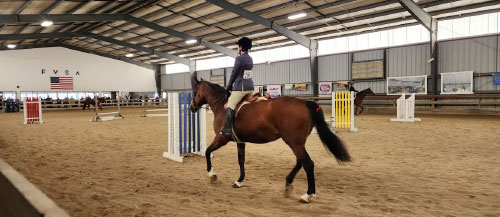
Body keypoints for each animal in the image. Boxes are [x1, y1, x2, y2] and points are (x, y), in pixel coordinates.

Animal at [189, 79, 350, 203]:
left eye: (195, 92)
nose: (191, 107)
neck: (222, 105)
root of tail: (306, 103)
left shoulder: (222, 138)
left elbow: (208, 152)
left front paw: (212, 175)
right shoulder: (240, 141)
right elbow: (241, 160)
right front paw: (239, 181)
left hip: (294, 142)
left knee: (308, 163)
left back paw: (307, 195)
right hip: (297, 142)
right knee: (300, 161)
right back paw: (288, 184)